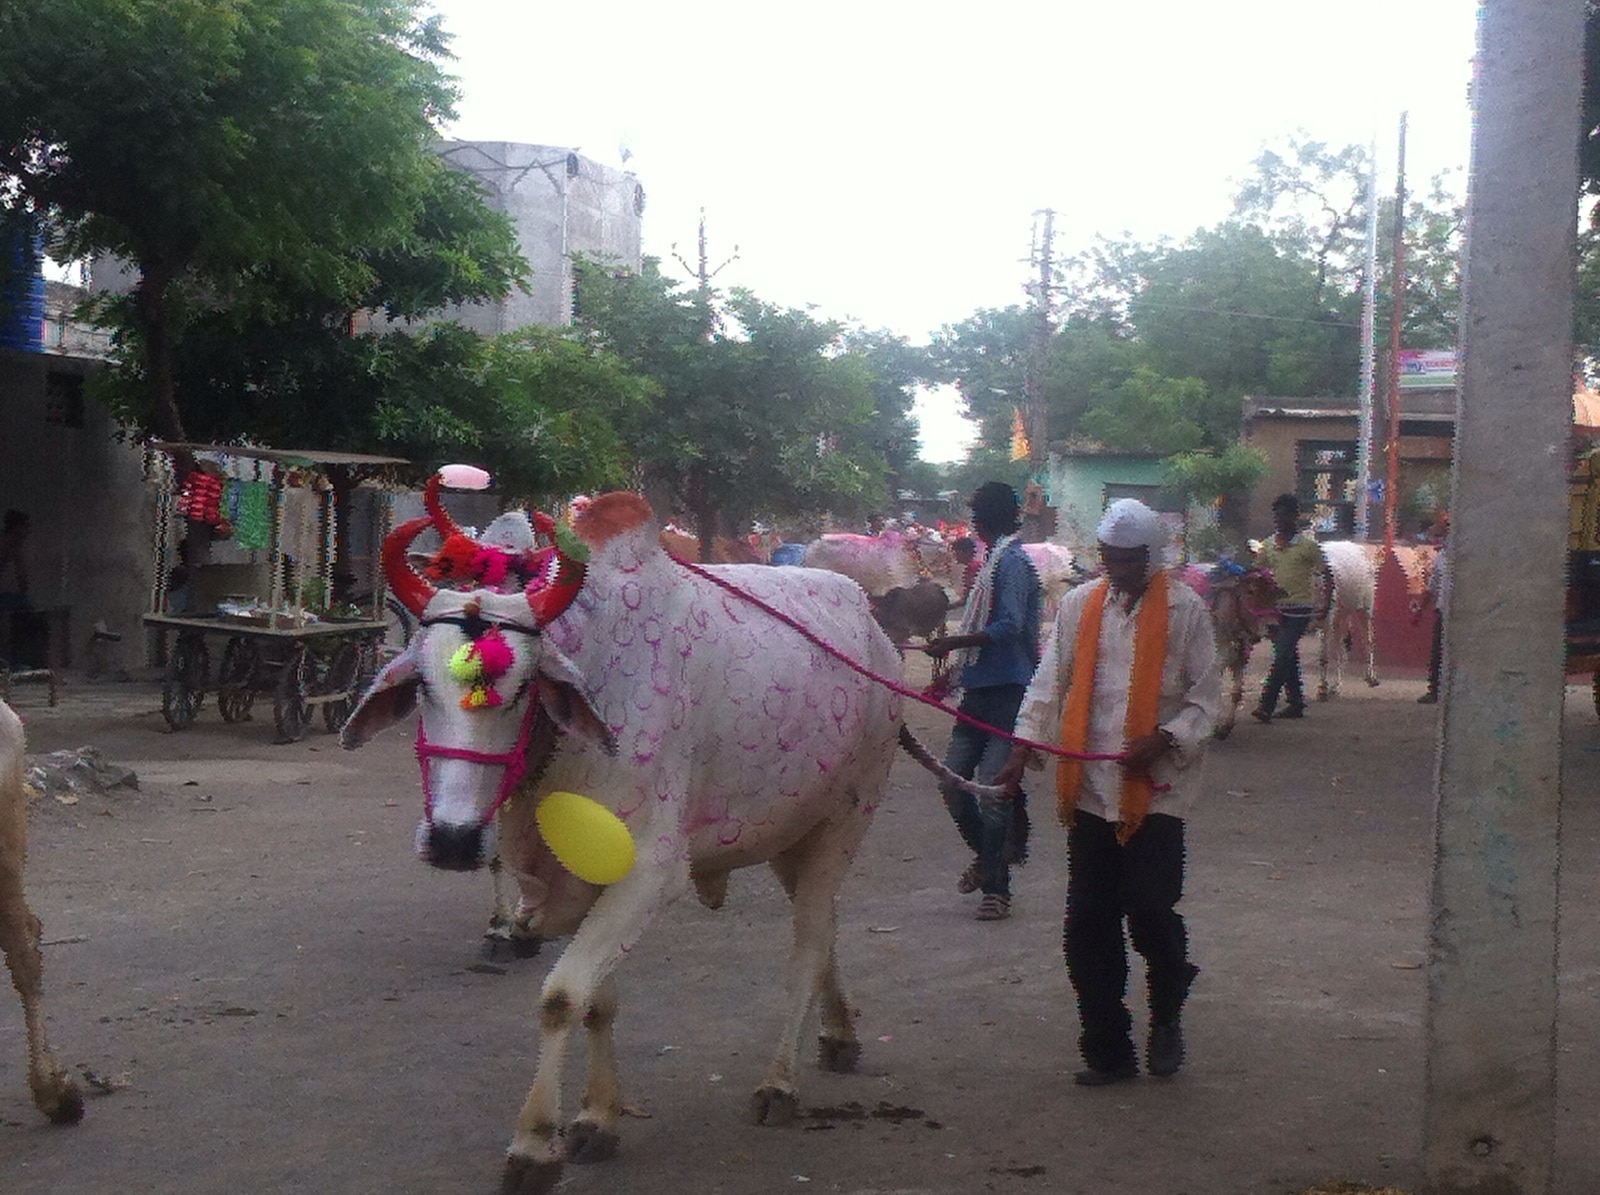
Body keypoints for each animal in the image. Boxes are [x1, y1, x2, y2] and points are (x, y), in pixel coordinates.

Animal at [344, 479, 972, 1195]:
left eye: (523, 685)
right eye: (423, 682)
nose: (451, 840)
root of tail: (873, 630)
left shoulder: (648, 874)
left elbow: (561, 997)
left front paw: (534, 1146)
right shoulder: (583, 884)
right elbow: (596, 1002)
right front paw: (597, 1117)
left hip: (848, 815)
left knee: (808, 947)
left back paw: (779, 1084)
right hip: (791, 830)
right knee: (826, 928)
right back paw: (839, 1036)